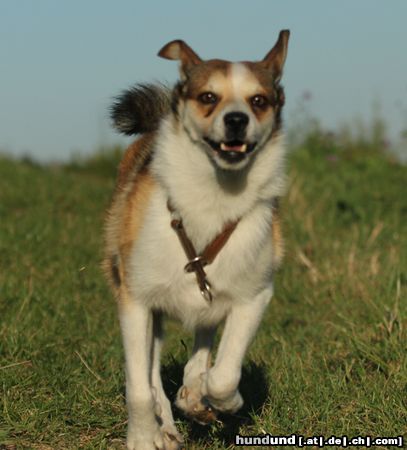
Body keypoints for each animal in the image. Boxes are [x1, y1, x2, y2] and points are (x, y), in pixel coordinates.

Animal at [105, 29, 290, 448]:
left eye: (258, 100)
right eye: (208, 97)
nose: (236, 120)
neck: (215, 195)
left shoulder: (254, 295)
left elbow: (224, 373)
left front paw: (217, 399)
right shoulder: (135, 300)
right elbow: (139, 386)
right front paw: (143, 437)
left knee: (204, 338)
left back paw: (193, 393)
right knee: (151, 372)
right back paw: (166, 426)